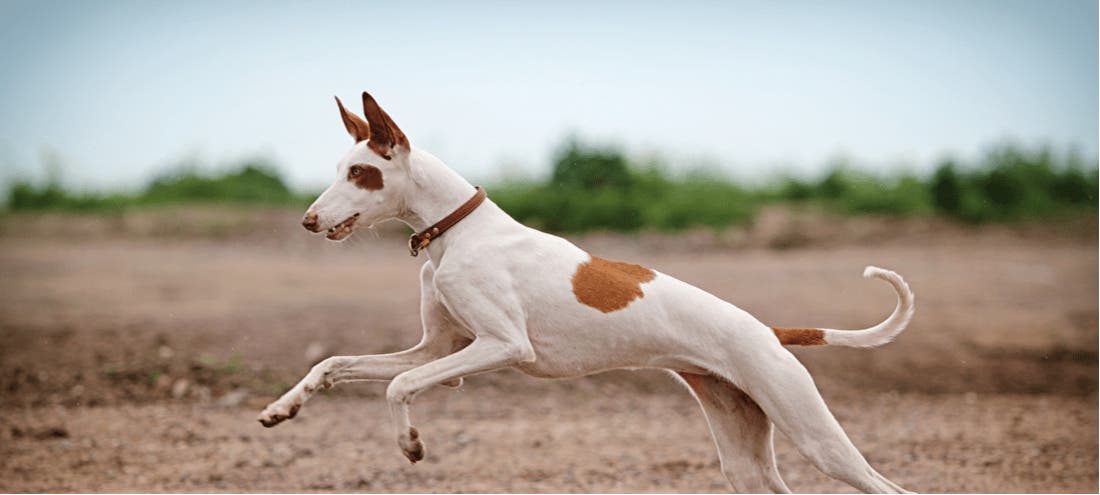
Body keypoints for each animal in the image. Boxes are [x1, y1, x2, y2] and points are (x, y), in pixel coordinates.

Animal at [255, 90, 910, 492]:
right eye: (340, 170)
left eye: (360, 173)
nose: (307, 221)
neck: (457, 232)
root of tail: (771, 330)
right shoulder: (439, 351)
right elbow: (334, 364)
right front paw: (283, 408)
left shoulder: (501, 347)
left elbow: (398, 386)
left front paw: (411, 444)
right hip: (743, 454)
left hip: (815, 435)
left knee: (887, 484)